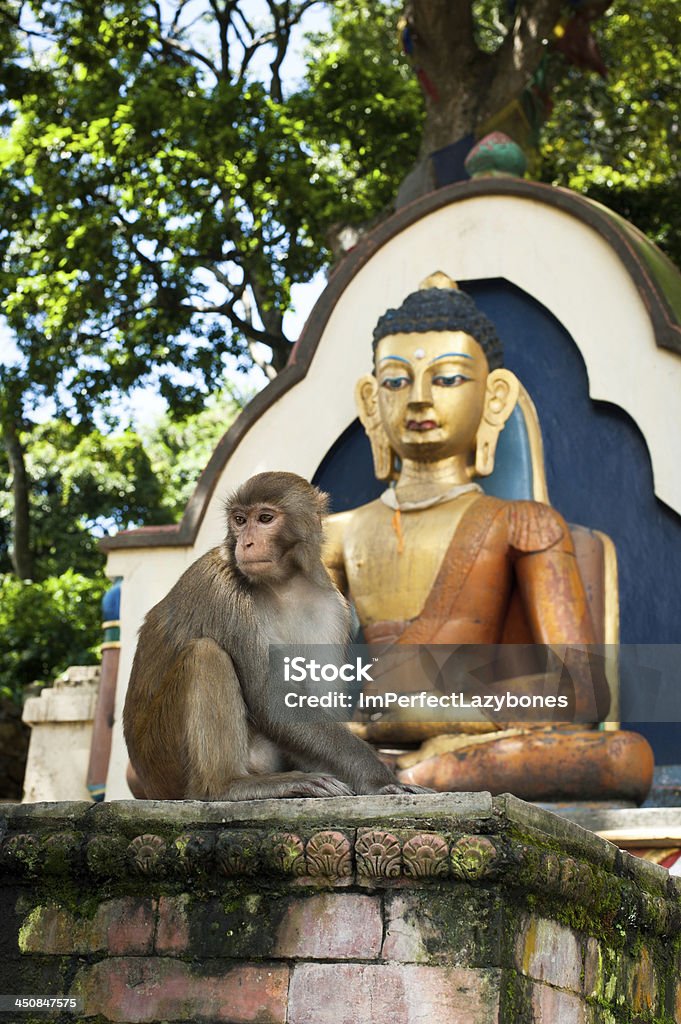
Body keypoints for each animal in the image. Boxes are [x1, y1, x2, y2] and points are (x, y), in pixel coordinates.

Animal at [119, 468, 421, 798]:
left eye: (265, 518)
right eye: (240, 520)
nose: (246, 543)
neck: (284, 583)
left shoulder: (332, 609)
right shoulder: (223, 590)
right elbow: (271, 702)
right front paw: (382, 780)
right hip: (164, 758)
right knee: (206, 654)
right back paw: (226, 785)